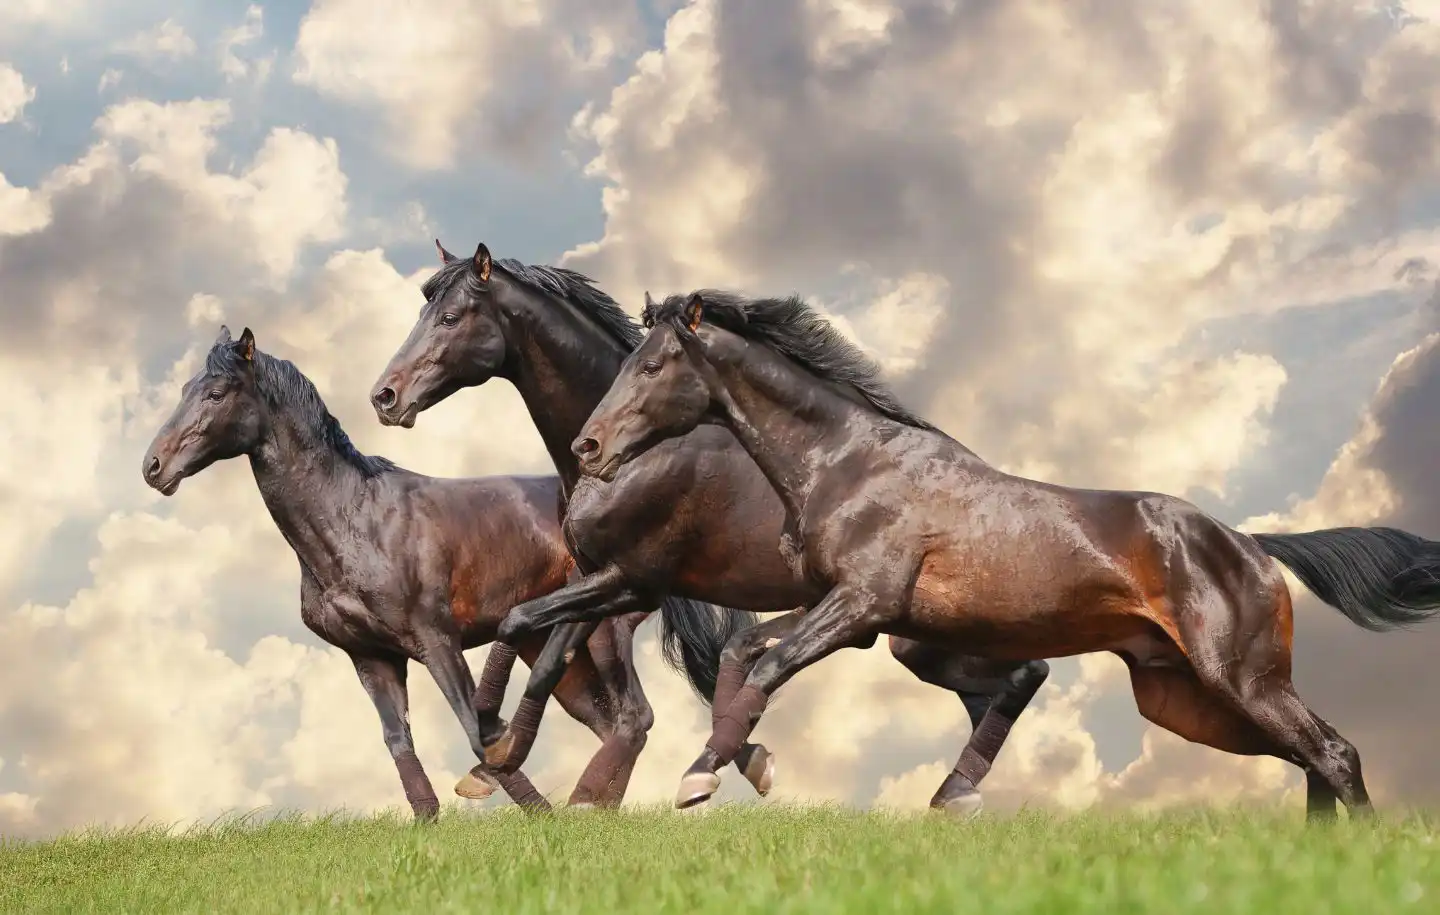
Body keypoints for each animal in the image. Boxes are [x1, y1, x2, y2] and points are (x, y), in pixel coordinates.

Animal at [140, 326, 739, 817]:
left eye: (217, 393)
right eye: (186, 389)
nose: (153, 466)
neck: (354, 518)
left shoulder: (436, 641)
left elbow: (475, 727)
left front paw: (521, 803)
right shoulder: (372, 658)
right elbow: (400, 741)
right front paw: (433, 820)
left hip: (602, 633)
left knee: (633, 718)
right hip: (553, 650)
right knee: (607, 721)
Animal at [369, 241, 1052, 814]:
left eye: (450, 318)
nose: (385, 396)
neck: (645, 450)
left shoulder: (632, 583)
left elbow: (530, 632)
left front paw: (509, 755)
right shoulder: (599, 581)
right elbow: (547, 653)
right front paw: (496, 762)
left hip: (924, 635)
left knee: (1025, 674)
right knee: (998, 688)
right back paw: (958, 797)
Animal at [569, 289, 1440, 820]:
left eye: (653, 363)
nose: (588, 447)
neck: (848, 459)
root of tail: (1252, 544)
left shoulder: (862, 606)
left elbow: (770, 666)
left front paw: (702, 777)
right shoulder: (838, 607)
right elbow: (742, 652)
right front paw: (717, 766)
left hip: (1240, 679)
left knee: (1332, 751)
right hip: (1189, 699)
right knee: (1312, 756)